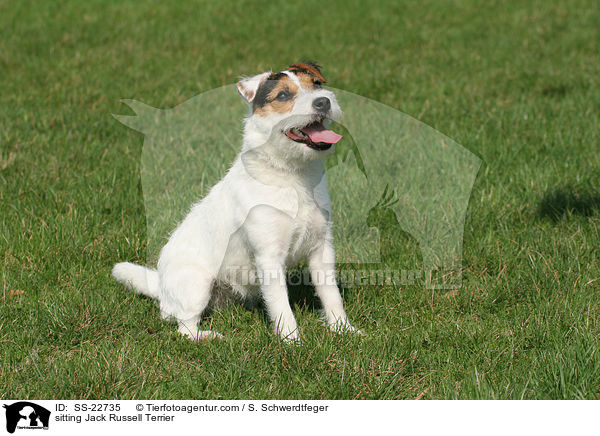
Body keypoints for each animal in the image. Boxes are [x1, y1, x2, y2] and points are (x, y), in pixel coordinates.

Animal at [111, 61, 360, 342]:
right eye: (284, 95)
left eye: (316, 84)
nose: (323, 101)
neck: (292, 176)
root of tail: (161, 287)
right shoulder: (269, 256)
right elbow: (281, 305)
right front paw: (292, 341)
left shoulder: (321, 249)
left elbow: (331, 295)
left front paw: (344, 329)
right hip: (196, 284)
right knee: (184, 328)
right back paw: (209, 337)